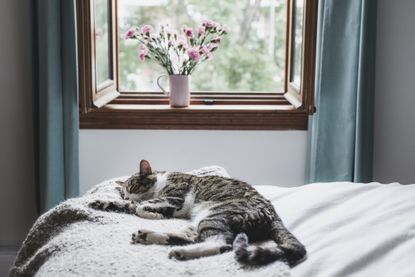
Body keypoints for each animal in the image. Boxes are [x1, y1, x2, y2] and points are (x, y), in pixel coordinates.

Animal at [90, 160, 306, 266]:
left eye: (134, 187)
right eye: (124, 193)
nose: (128, 196)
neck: (160, 183)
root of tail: (273, 214)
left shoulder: (175, 197)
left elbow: (141, 208)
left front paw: (154, 214)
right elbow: (129, 206)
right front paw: (100, 202)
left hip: (214, 215)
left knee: (220, 243)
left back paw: (179, 252)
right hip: (201, 221)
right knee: (192, 238)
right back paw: (148, 236)